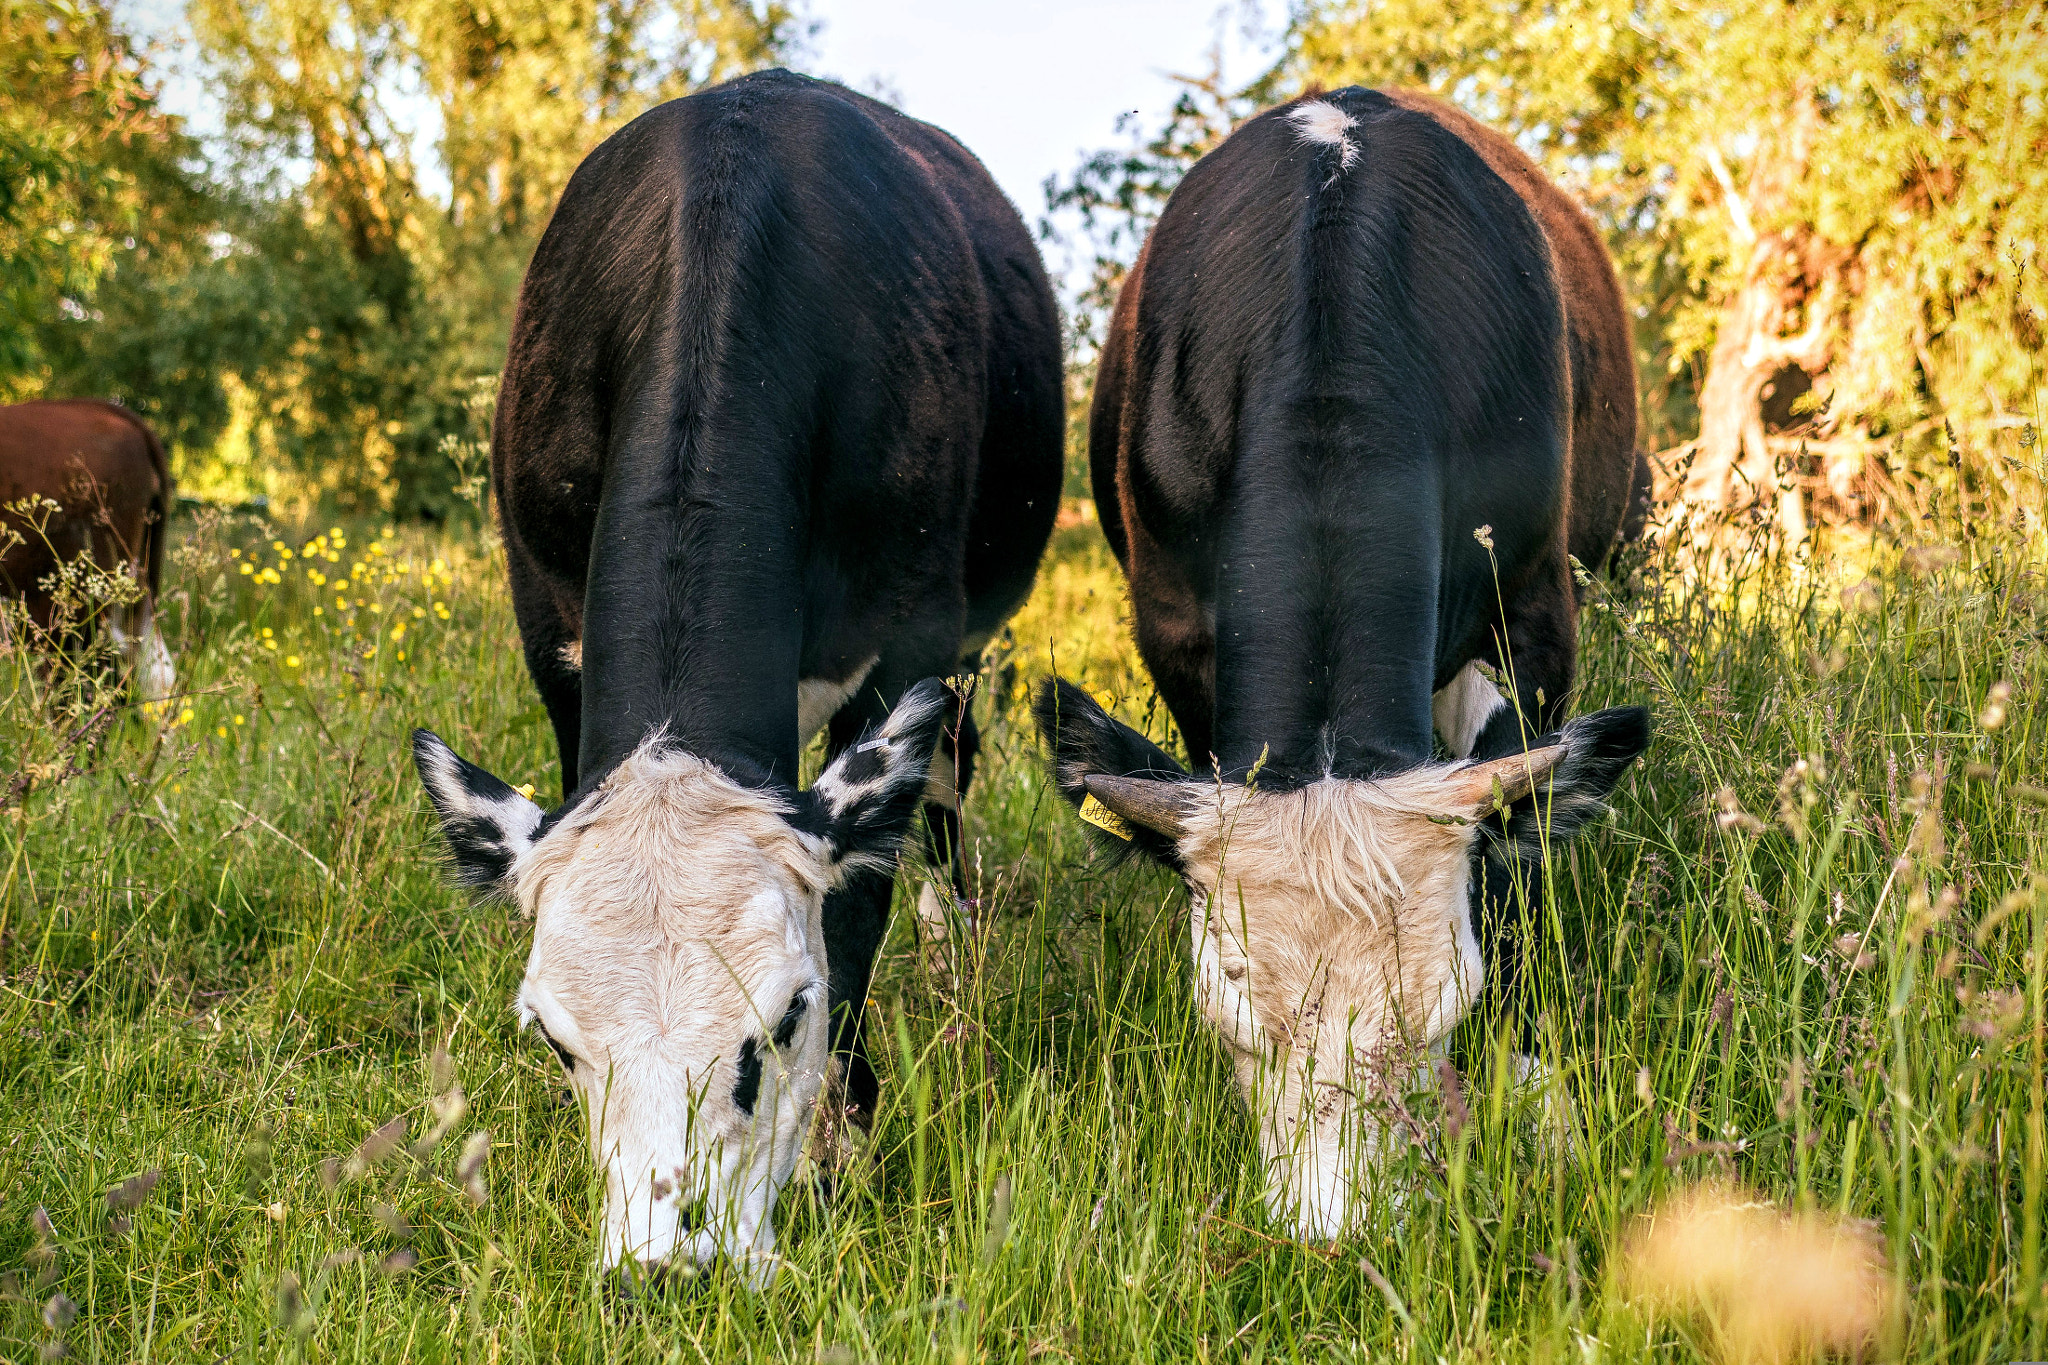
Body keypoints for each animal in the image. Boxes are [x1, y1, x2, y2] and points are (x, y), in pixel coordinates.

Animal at [409, 72, 1064, 1293]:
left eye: (787, 1016)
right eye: (554, 1039)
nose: (671, 1265)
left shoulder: (907, 637)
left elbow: (857, 906)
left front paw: (842, 1141)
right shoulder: (548, 635)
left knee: (951, 776)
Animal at [1040, 87, 1646, 1236]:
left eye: (1449, 1002)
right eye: (1226, 1001)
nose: (1334, 1236)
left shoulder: (1535, 614)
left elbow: (1513, 859)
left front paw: (1519, 1096)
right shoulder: (1177, 636)